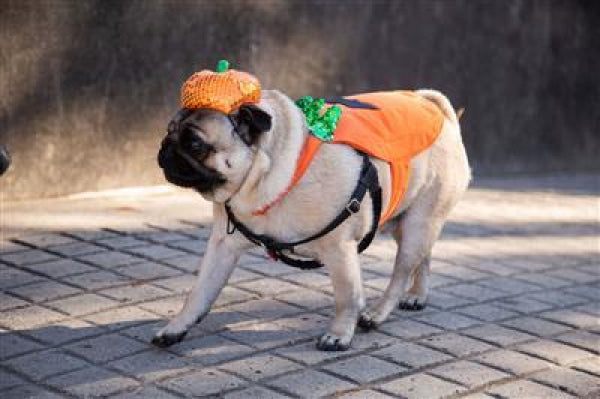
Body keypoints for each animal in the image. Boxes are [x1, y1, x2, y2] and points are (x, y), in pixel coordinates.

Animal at [152, 89, 472, 352]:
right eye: (168, 131)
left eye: (195, 144)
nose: (164, 148)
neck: (270, 175)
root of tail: (438, 111)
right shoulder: (222, 246)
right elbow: (199, 293)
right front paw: (176, 327)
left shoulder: (339, 249)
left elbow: (346, 296)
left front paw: (339, 334)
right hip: (407, 220)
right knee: (424, 258)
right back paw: (417, 296)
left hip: (419, 224)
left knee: (402, 272)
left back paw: (377, 313)